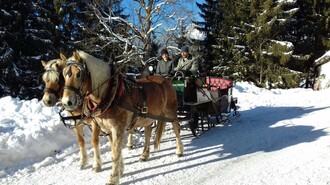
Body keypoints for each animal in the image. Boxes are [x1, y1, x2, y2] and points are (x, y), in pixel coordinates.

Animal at [61, 50, 184, 185]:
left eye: (78, 74)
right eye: (63, 74)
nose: (67, 102)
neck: (111, 94)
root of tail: (167, 79)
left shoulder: (117, 129)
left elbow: (114, 153)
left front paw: (113, 178)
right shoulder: (108, 130)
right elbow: (115, 150)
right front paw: (120, 170)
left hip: (171, 111)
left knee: (176, 128)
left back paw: (179, 150)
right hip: (147, 117)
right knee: (148, 133)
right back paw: (144, 155)